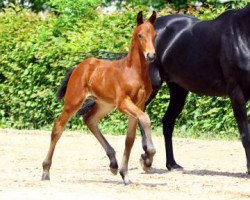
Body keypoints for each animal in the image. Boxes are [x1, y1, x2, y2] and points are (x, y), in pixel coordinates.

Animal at [42, 10, 157, 184]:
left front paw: (126, 174)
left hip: (104, 104)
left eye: (155, 35)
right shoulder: (123, 103)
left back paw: (113, 164)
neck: (134, 72)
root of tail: (80, 66)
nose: (151, 55)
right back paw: (45, 171)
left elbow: (130, 138)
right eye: (140, 35)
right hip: (73, 101)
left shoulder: (139, 104)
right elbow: (145, 119)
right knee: (58, 127)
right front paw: (148, 157)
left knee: (89, 120)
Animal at [79, 4, 250, 173]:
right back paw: (146, 158)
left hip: (178, 89)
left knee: (167, 122)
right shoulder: (236, 93)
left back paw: (171, 164)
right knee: (141, 115)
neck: (241, 34)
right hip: (152, 88)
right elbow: (245, 134)